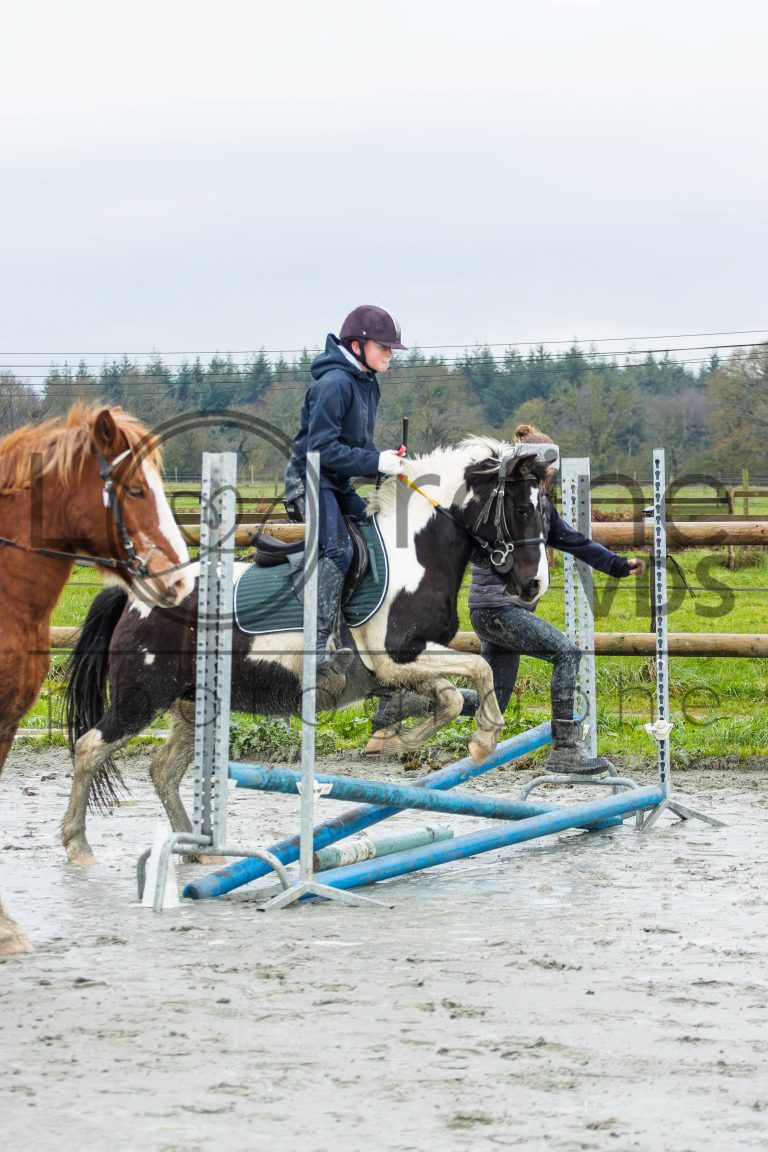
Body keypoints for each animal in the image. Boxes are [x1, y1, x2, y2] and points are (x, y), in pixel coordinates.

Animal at [61, 437, 551, 868]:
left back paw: (200, 851)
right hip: (144, 694)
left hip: (191, 703)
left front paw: (394, 738)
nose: (534, 587)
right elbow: (479, 667)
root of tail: (136, 597)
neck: (414, 556)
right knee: (90, 747)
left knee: (163, 769)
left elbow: (450, 697)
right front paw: (483, 741)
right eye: (523, 509)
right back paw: (78, 846)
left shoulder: (405, 664)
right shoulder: (396, 655)